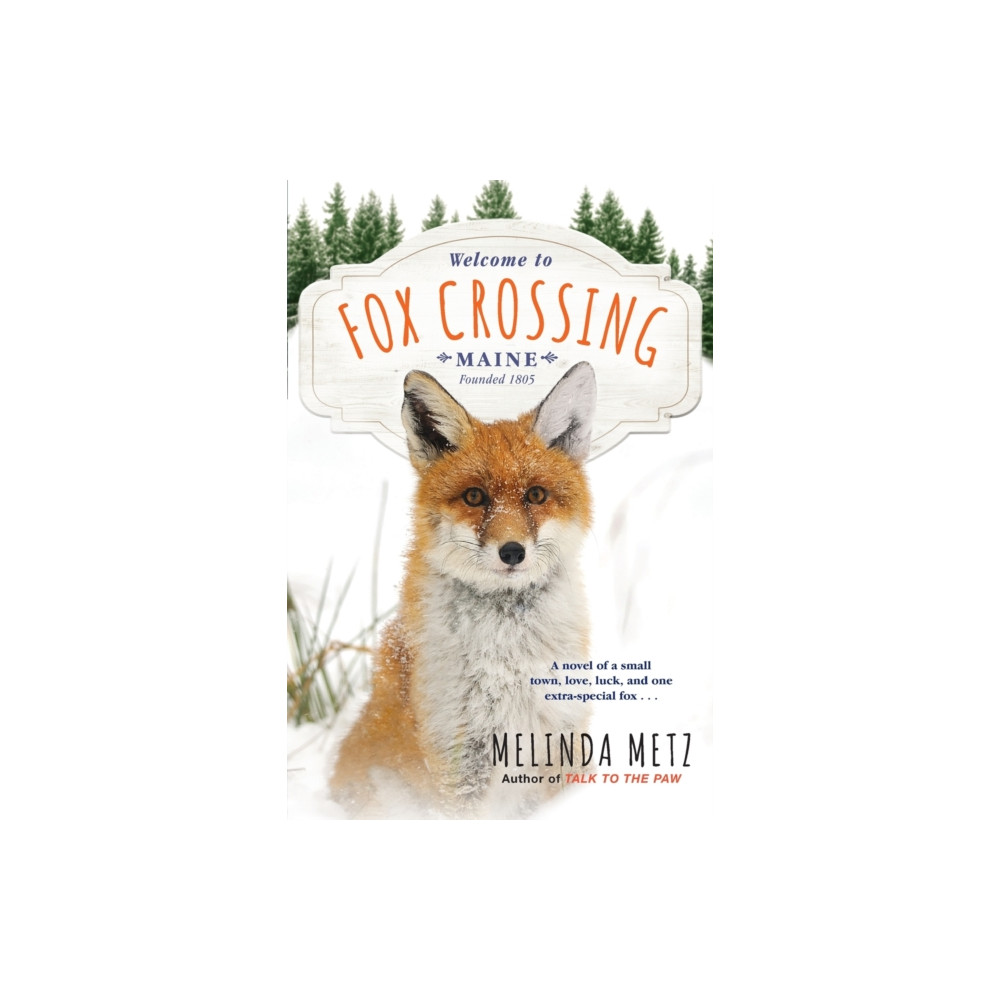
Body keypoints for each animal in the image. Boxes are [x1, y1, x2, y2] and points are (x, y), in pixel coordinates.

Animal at [329, 362, 598, 819]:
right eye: (475, 496)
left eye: (536, 494)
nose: (512, 552)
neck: (510, 664)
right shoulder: (458, 755)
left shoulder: (559, 736)